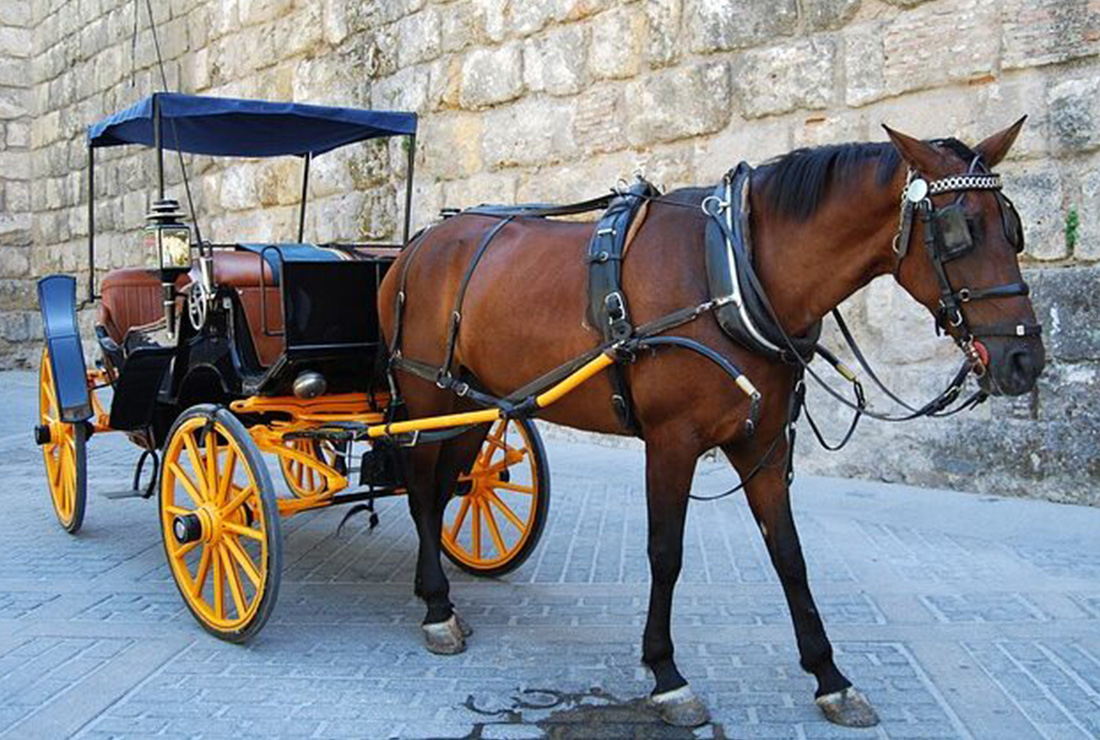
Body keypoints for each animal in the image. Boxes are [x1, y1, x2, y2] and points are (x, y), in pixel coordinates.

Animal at [374, 122, 1042, 725]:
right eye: (959, 232)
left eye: (1013, 228)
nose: (1024, 358)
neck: (734, 276)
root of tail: (418, 243)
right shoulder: (671, 443)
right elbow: (665, 552)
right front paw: (667, 674)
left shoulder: (764, 445)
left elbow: (790, 555)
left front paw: (829, 676)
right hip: (427, 394)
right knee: (421, 491)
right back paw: (436, 609)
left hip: (475, 406)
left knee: (447, 488)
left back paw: (435, 593)